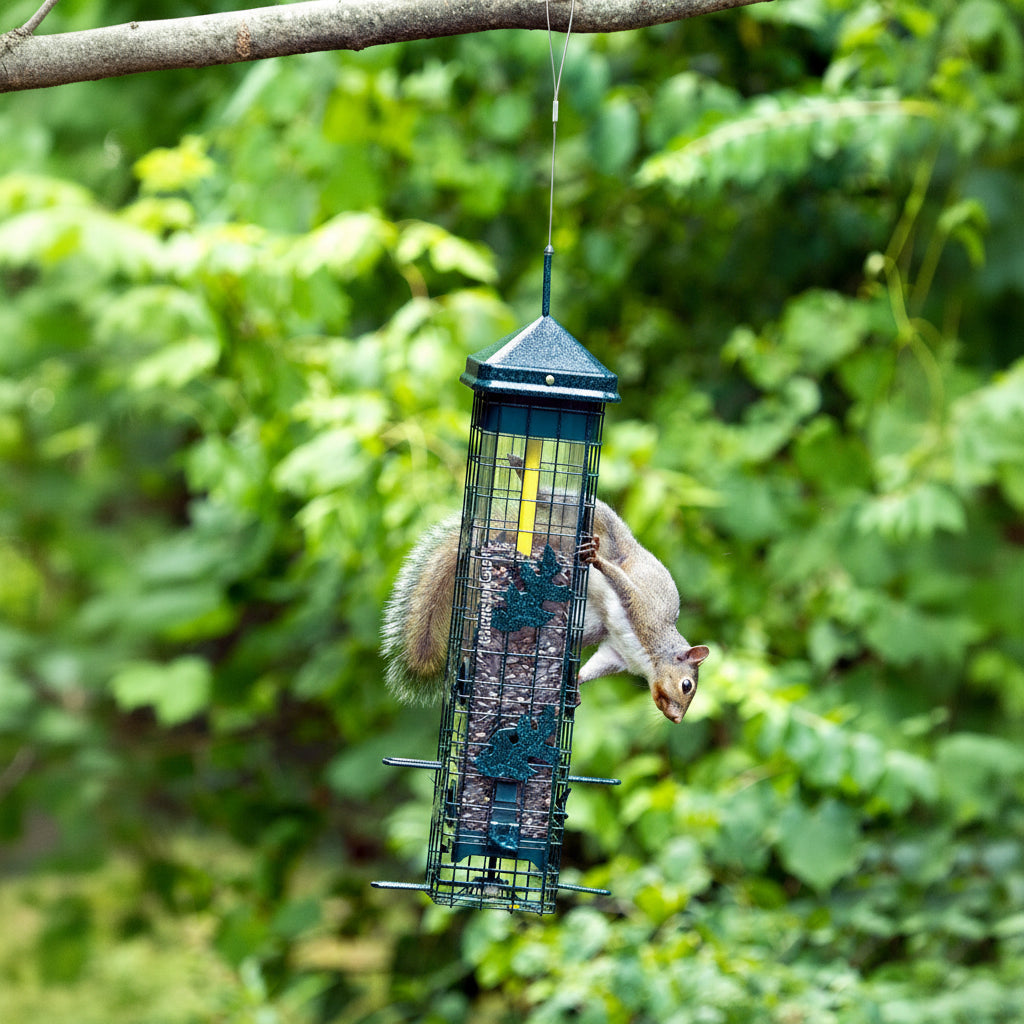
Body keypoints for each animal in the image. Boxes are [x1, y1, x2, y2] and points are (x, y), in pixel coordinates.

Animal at [381, 466, 710, 724]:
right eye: (687, 685)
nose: (676, 718)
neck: (649, 656)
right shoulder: (643, 611)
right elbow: (621, 583)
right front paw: (597, 561)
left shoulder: (616, 653)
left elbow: (599, 663)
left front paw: (574, 687)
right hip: (598, 520)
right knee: (559, 500)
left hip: (589, 623)